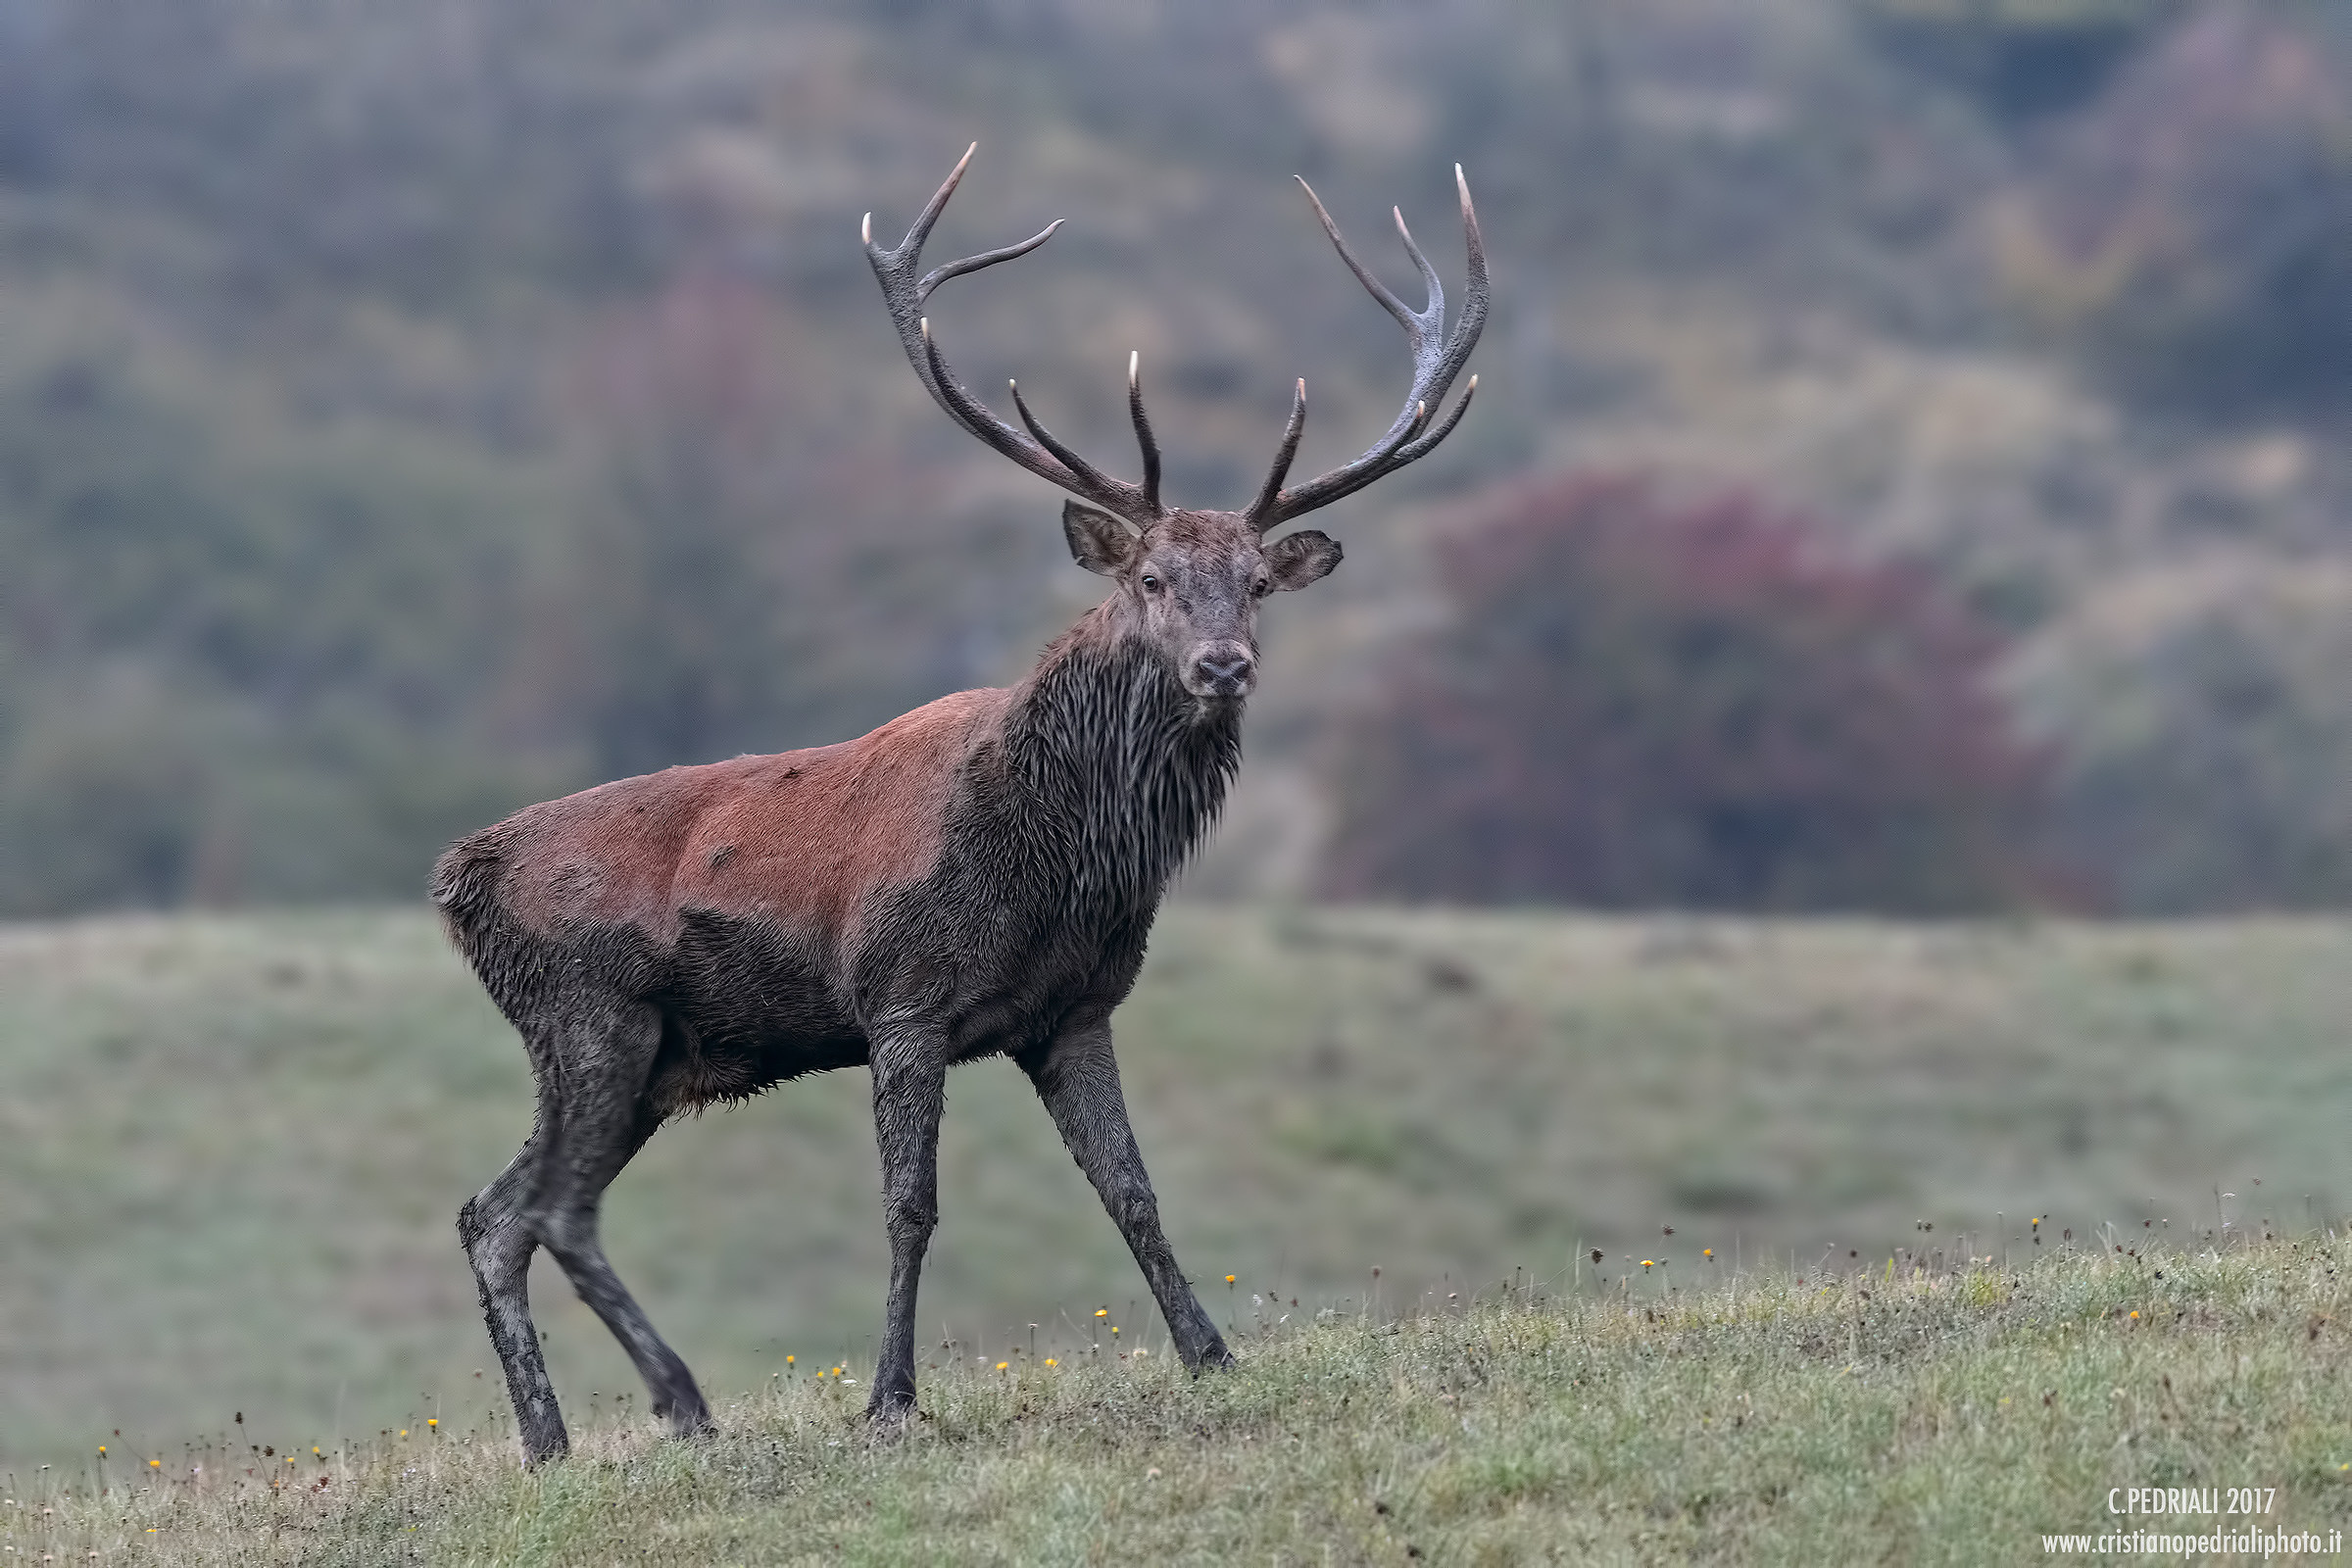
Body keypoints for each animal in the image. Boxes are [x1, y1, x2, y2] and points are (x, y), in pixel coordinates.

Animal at [432, 144, 1485, 1466]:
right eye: (1151, 578)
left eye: (1254, 582)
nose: (1223, 665)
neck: (1053, 862)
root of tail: (455, 880)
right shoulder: (902, 997)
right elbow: (911, 1203)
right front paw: (890, 1395)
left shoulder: (1075, 1011)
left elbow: (1131, 1187)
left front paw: (1211, 1351)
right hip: (589, 1017)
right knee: (551, 1209)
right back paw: (674, 1402)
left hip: (643, 1054)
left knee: (496, 1210)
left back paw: (560, 1438)